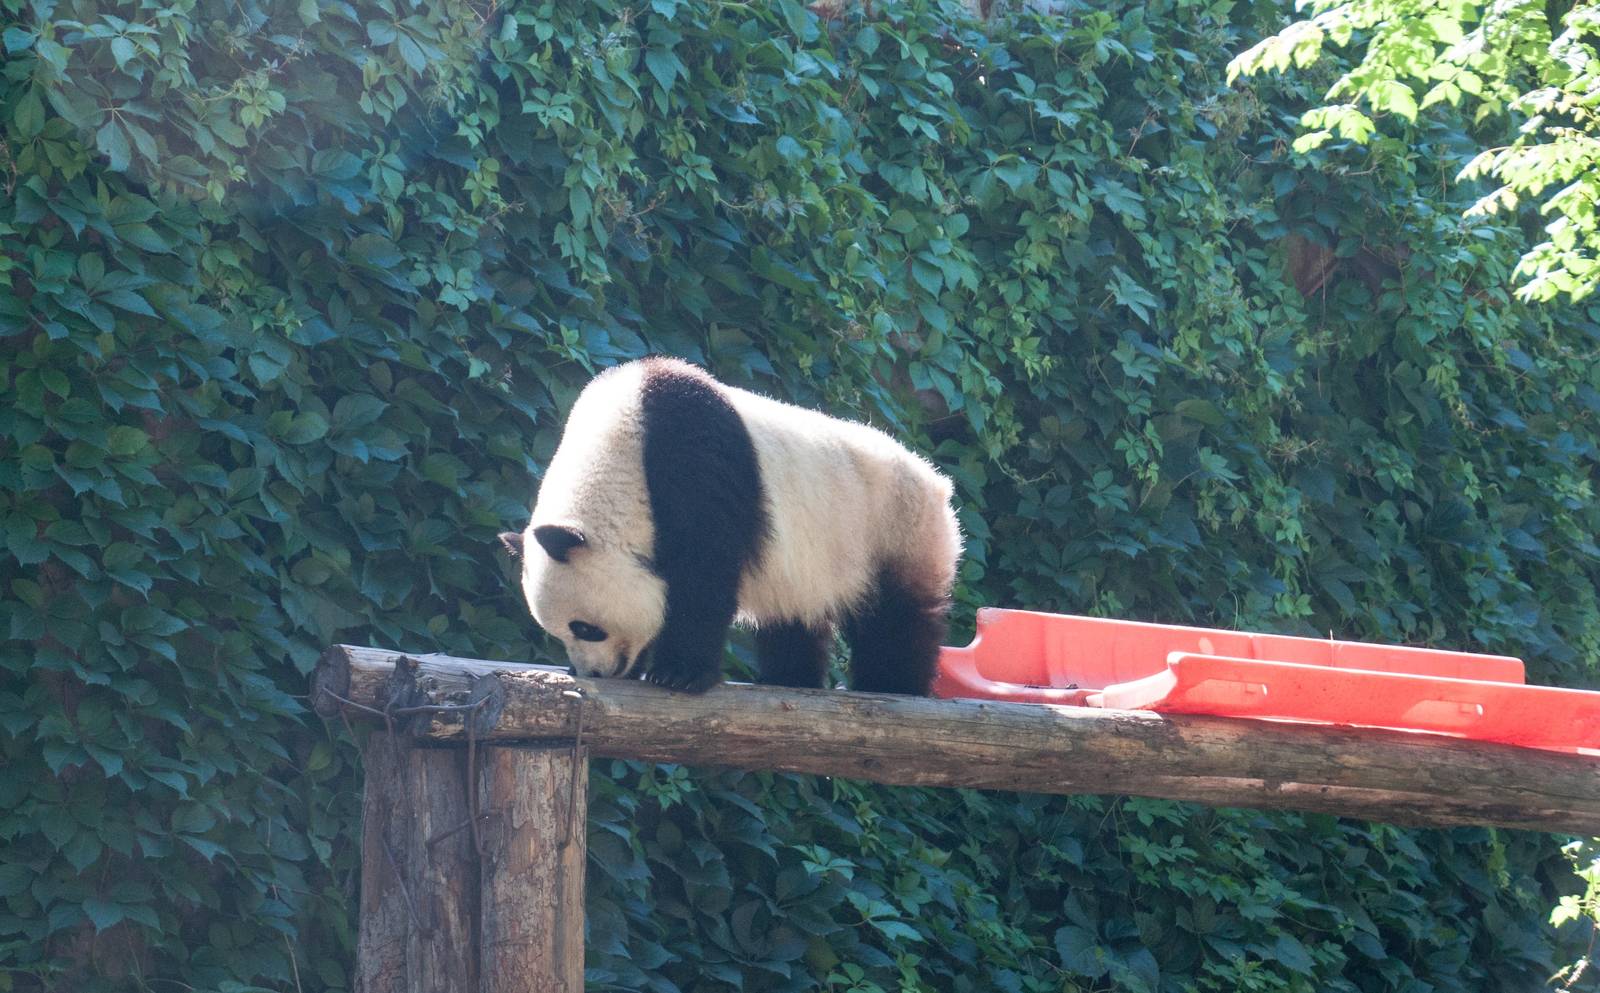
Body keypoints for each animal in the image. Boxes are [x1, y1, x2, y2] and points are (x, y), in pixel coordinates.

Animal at [500, 356, 963, 695]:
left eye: (585, 628)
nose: (593, 674)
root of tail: (934, 478)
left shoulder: (696, 458)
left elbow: (703, 572)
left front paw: (680, 673)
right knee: (795, 614)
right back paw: (790, 677)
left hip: (893, 525)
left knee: (896, 614)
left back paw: (891, 684)